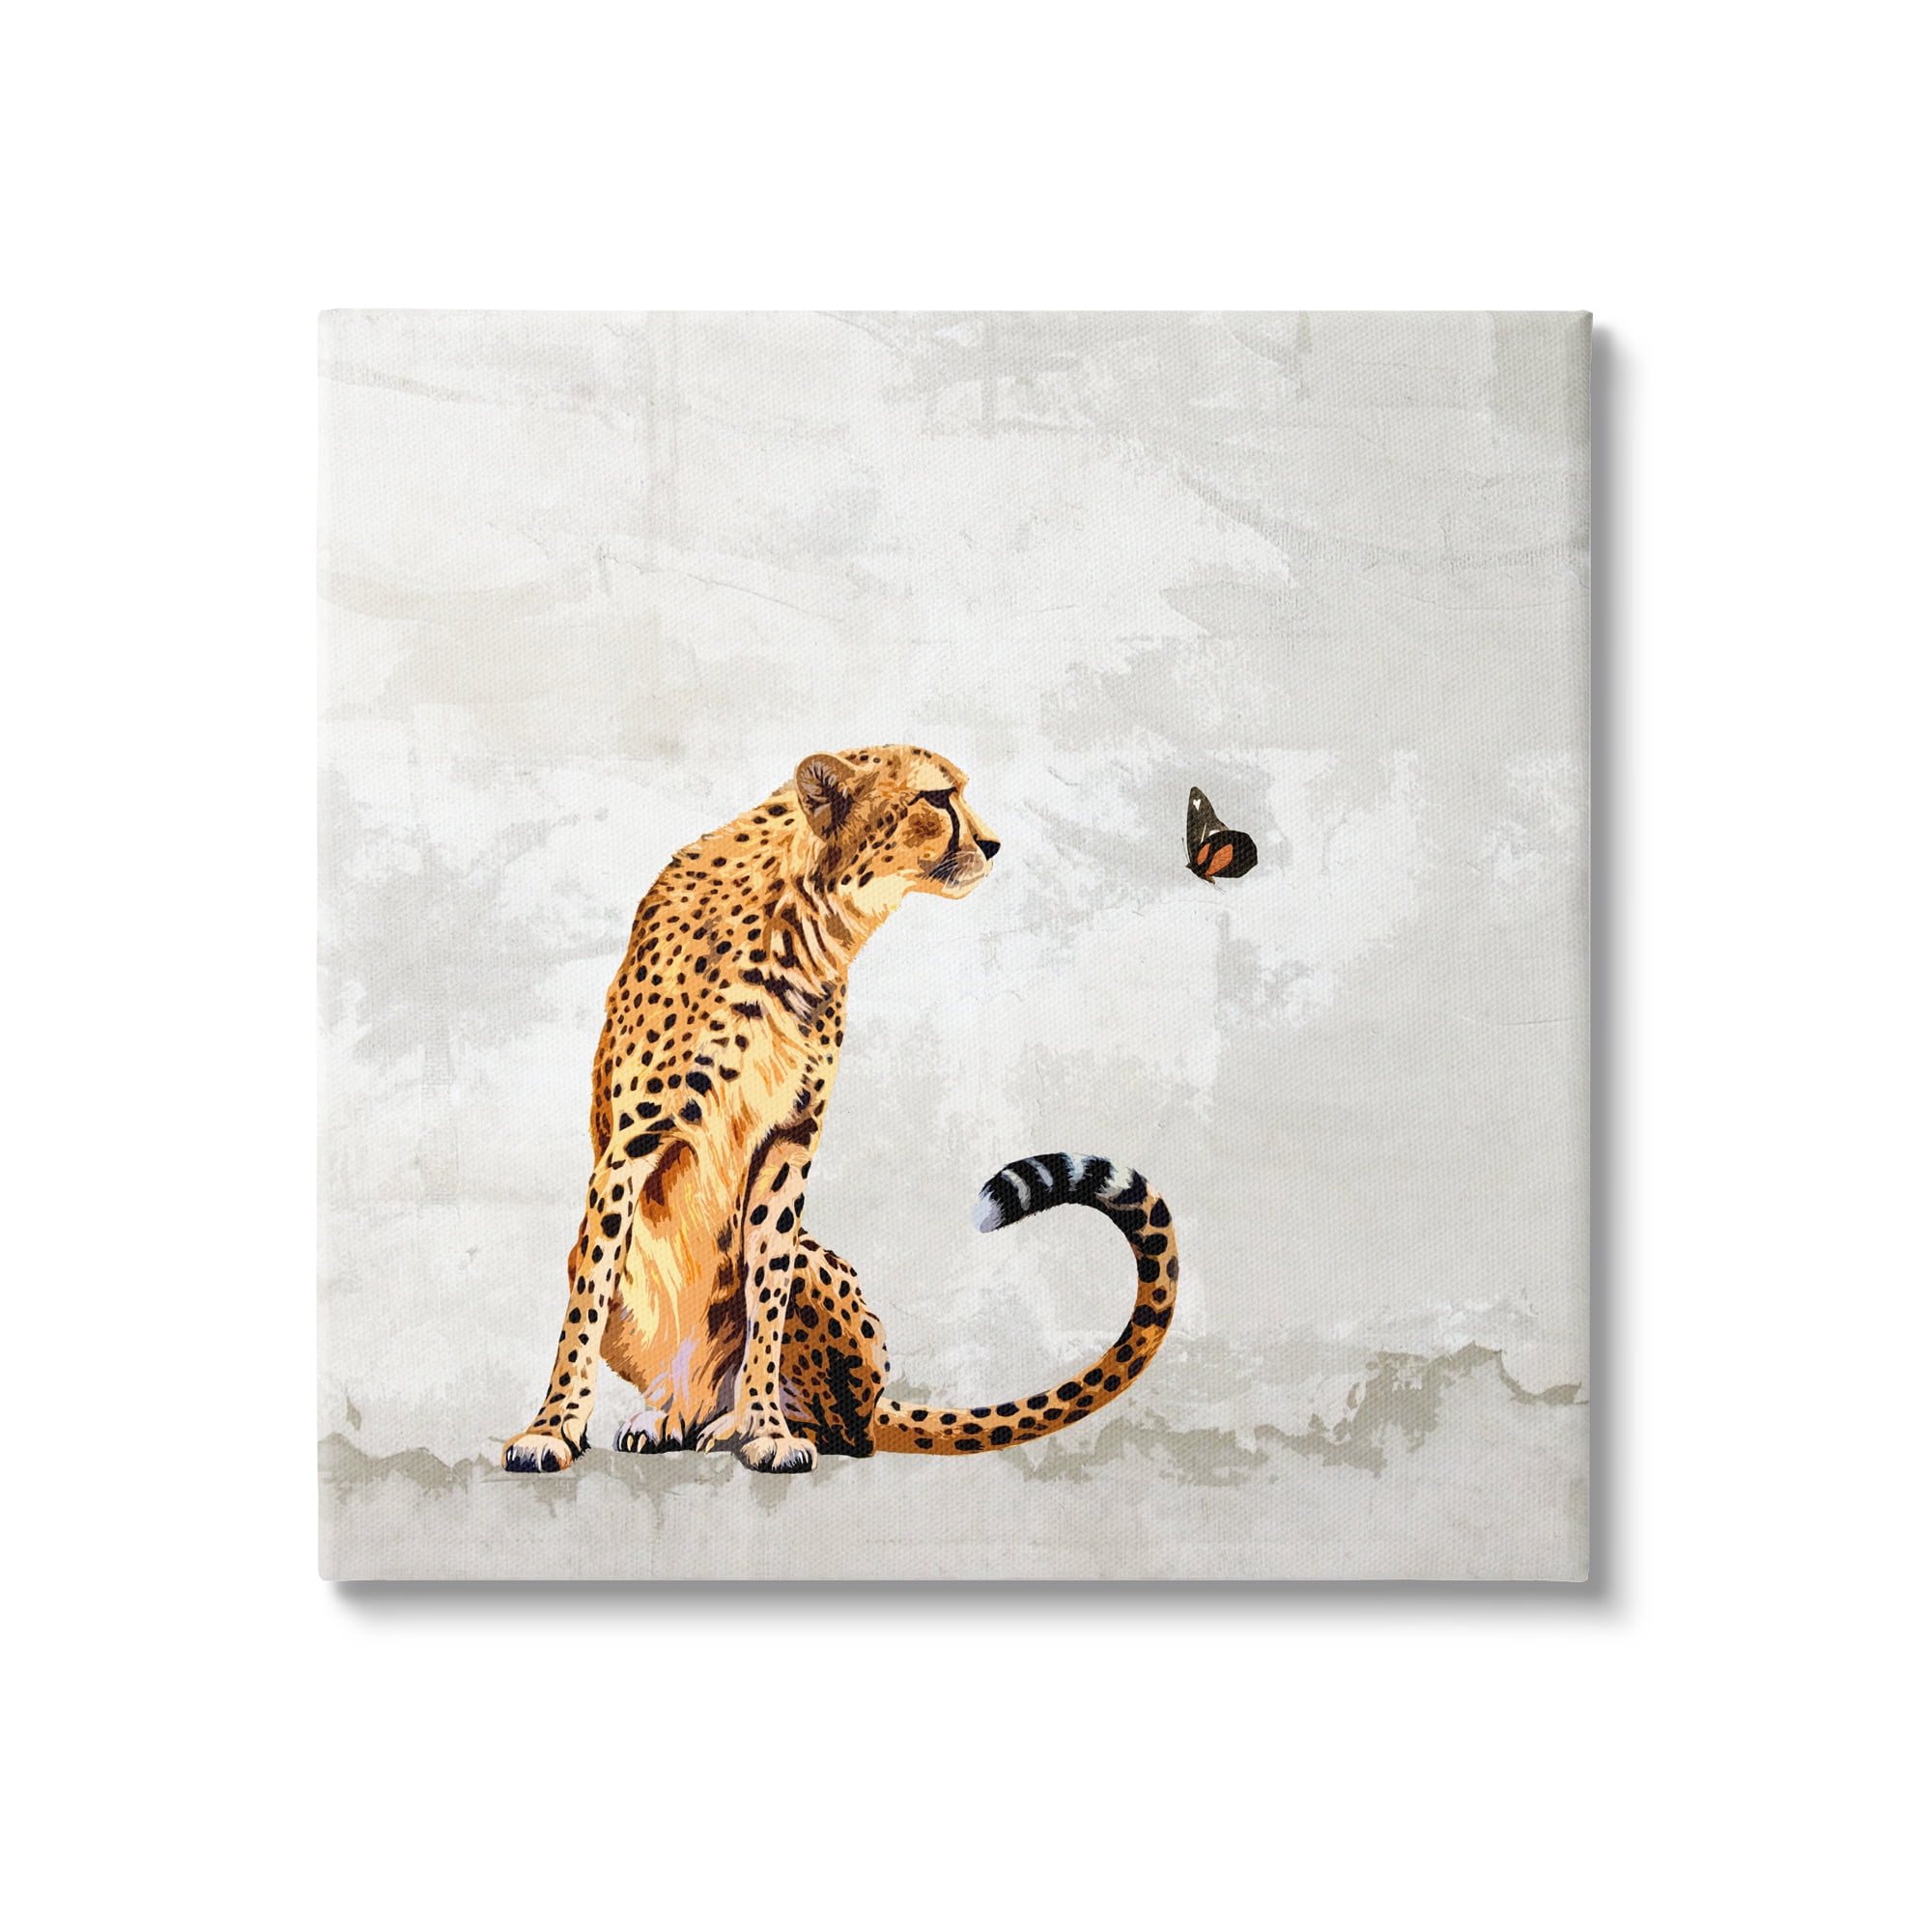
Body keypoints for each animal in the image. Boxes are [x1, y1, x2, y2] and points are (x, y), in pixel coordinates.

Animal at [502, 745, 1180, 1476]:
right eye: (938, 798)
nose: (995, 844)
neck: (803, 922)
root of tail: (879, 1396)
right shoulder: (631, 1146)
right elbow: (587, 1301)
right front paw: (552, 1428)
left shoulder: (790, 1141)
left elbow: (767, 1292)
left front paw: (766, 1428)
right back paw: (668, 1418)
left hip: (824, 1284)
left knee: (846, 1428)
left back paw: (734, 1422)